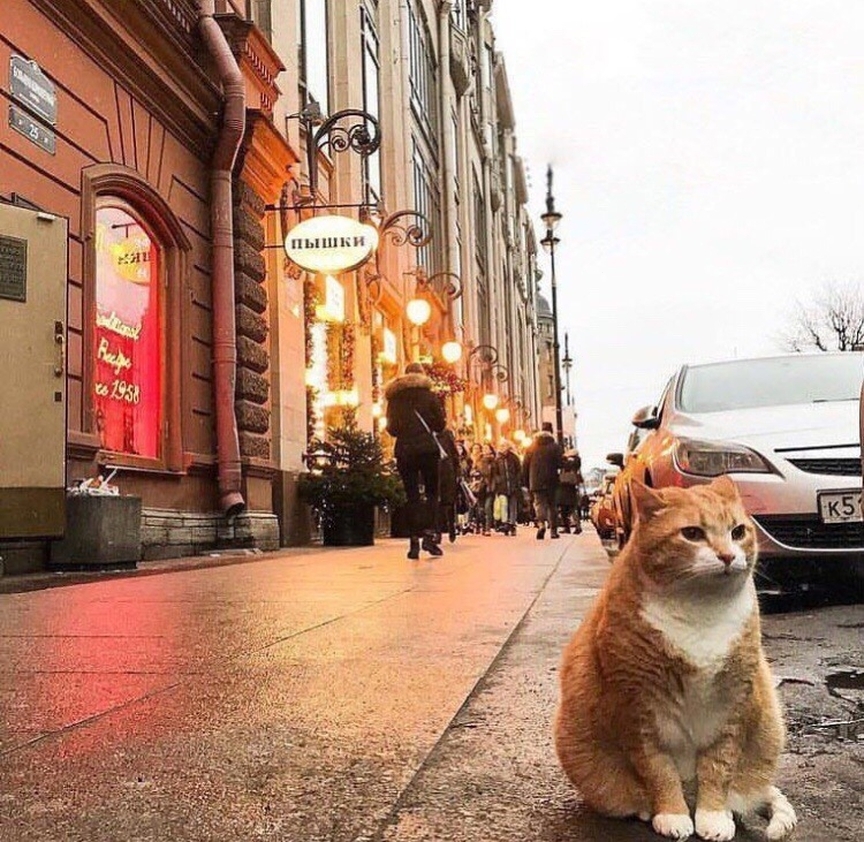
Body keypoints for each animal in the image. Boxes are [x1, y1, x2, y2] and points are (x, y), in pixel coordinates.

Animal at [552, 476, 796, 836]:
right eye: (692, 533)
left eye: (737, 531)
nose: (727, 555)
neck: (701, 612)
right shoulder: (636, 710)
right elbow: (658, 770)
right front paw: (671, 814)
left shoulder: (732, 707)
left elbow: (719, 768)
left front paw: (713, 816)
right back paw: (649, 809)